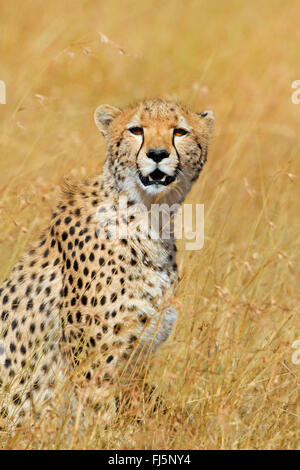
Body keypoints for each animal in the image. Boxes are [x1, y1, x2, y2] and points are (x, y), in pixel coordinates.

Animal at [0, 98, 213, 426]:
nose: (157, 154)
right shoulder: (96, 366)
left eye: (180, 132)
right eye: (136, 130)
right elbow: (100, 420)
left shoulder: (136, 357)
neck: (150, 216)